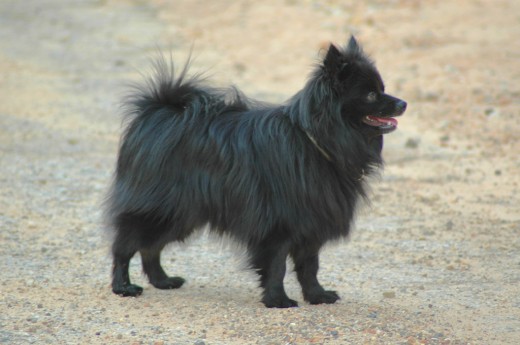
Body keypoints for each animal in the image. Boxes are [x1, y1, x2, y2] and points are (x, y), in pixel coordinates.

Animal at [105, 36, 406, 308]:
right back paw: (123, 287)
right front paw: (277, 300)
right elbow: (277, 267)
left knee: (151, 247)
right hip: (158, 209)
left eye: (383, 88)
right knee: (124, 246)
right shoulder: (277, 227)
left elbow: (310, 267)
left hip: (180, 214)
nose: (403, 103)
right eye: (370, 94)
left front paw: (317, 296)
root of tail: (158, 111)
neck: (316, 141)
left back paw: (162, 281)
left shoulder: (310, 225)